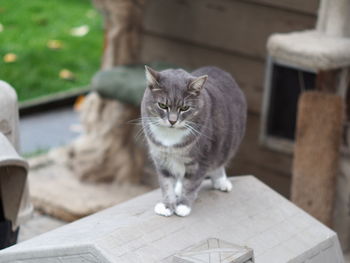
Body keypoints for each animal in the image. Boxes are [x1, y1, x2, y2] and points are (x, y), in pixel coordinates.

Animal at [140, 65, 246, 217]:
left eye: (185, 108)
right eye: (162, 105)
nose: (172, 121)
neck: (170, 138)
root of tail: (218, 69)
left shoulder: (201, 160)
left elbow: (191, 185)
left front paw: (183, 206)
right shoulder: (162, 159)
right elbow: (166, 184)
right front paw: (167, 206)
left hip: (225, 145)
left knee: (219, 162)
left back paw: (221, 182)